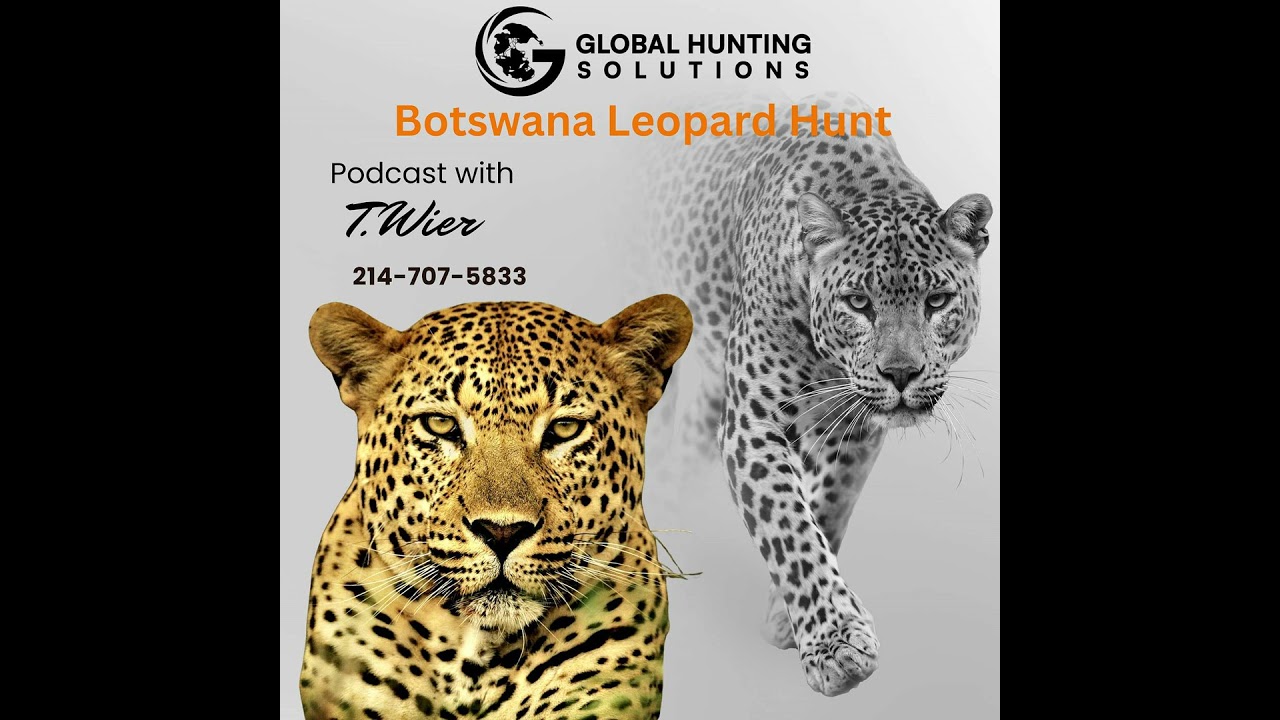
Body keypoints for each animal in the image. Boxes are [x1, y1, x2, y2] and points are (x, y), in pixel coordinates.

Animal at [646, 91, 993, 696]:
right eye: (858, 302)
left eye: (937, 301)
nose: (901, 373)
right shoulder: (753, 425)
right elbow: (788, 524)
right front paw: (835, 644)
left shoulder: (854, 429)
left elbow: (827, 507)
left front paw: (789, 619)